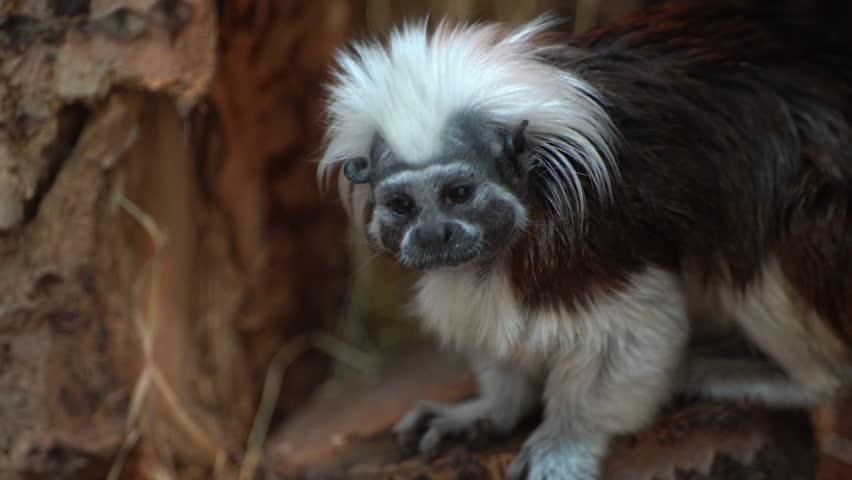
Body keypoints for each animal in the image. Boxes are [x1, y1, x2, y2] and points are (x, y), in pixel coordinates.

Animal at [315, 1, 852, 478]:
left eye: (458, 193)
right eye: (402, 205)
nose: (432, 235)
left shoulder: (593, 230)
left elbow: (634, 330)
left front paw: (566, 441)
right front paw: (488, 410)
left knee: (762, 228)